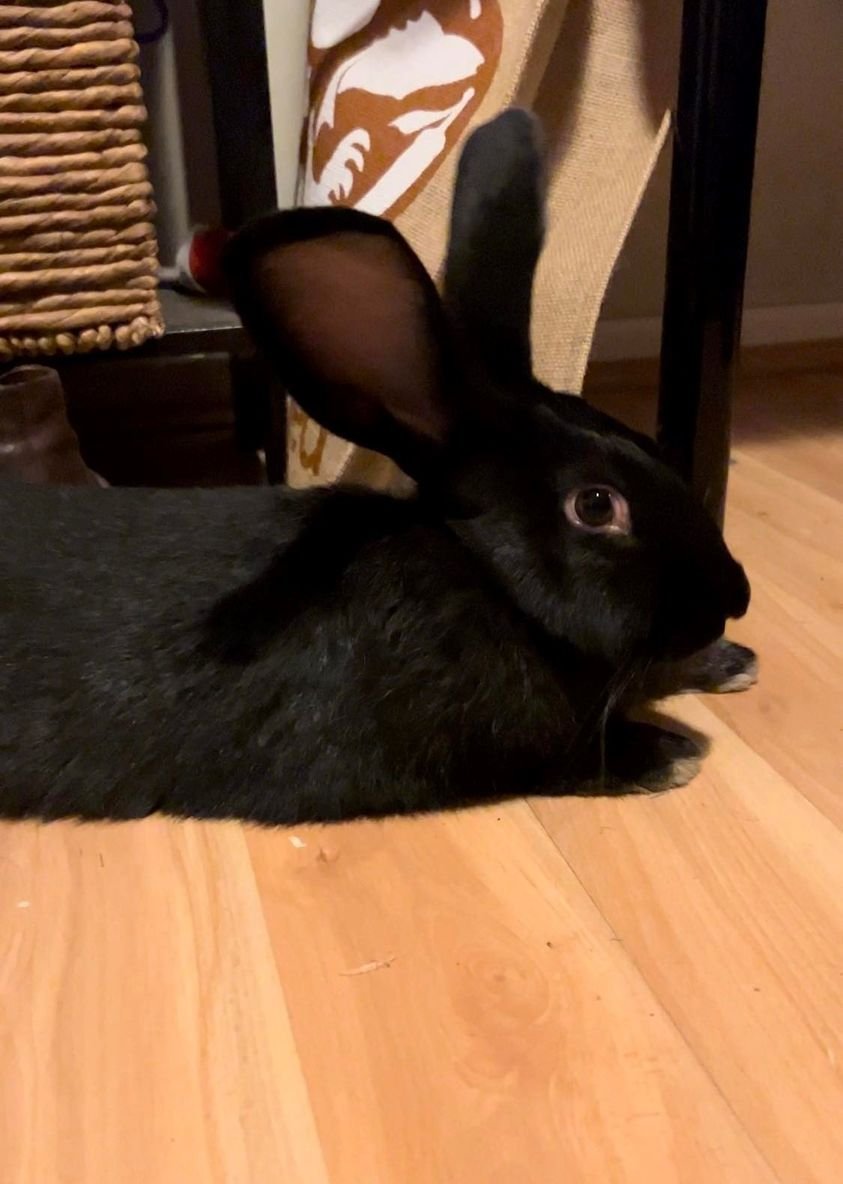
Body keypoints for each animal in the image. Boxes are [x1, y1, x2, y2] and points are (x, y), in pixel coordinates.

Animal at [0, 109, 755, 827]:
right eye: (596, 506)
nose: (736, 597)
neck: (490, 580)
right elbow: (569, 756)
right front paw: (668, 753)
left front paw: (728, 662)